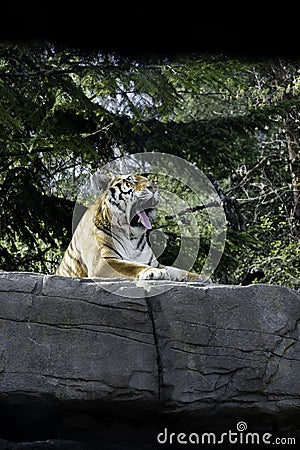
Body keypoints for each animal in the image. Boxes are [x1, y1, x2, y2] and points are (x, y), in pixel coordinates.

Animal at [55, 173, 205, 282]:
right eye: (131, 181)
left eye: (150, 180)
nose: (154, 187)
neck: (131, 235)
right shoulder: (103, 263)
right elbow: (131, 266)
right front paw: (154, 272)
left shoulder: (154, 262)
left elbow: (176, 270)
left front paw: (200, 277)